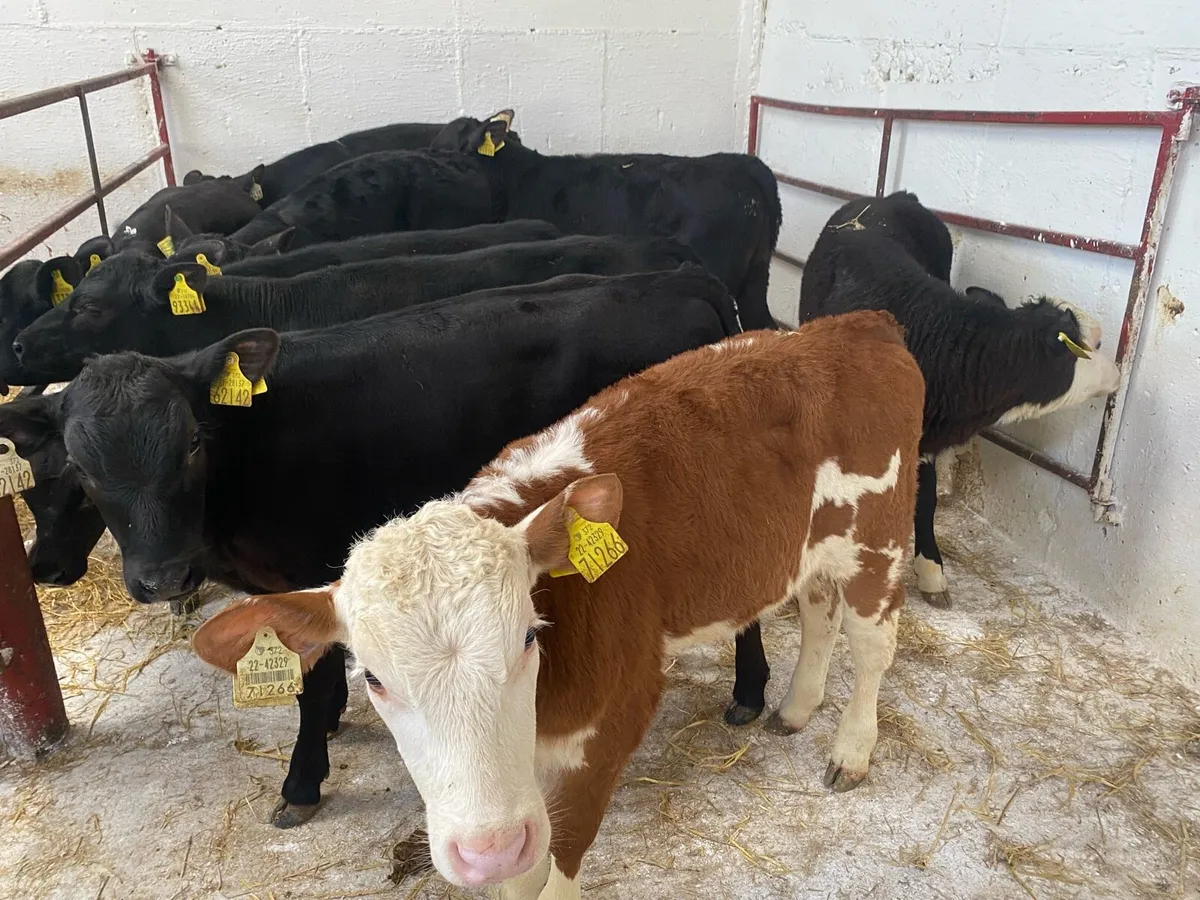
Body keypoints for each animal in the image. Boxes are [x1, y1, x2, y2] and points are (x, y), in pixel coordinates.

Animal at [10, 267, 750, 828]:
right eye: (79, 468)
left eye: (192, 441)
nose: (164, 578)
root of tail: (677, 279)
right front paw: (336, 720)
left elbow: (311, 685)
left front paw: (302, 782)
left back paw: (748, 693)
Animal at [190, 311, 924, 897]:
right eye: (372, 678)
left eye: (527, 637)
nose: (484, 847)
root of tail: (855, 325)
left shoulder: (616, 715)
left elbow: (560, 859)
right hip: (814, 548)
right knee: (820, 611)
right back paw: (796, 708)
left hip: (879, 536)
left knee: (872, 644)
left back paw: (851, 749)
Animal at [800, 192, 1121, 607]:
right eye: (1094, 345)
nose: (1118, 372)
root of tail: (895, 197)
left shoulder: (922, 439)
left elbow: (925, 498)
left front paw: (930, 572)